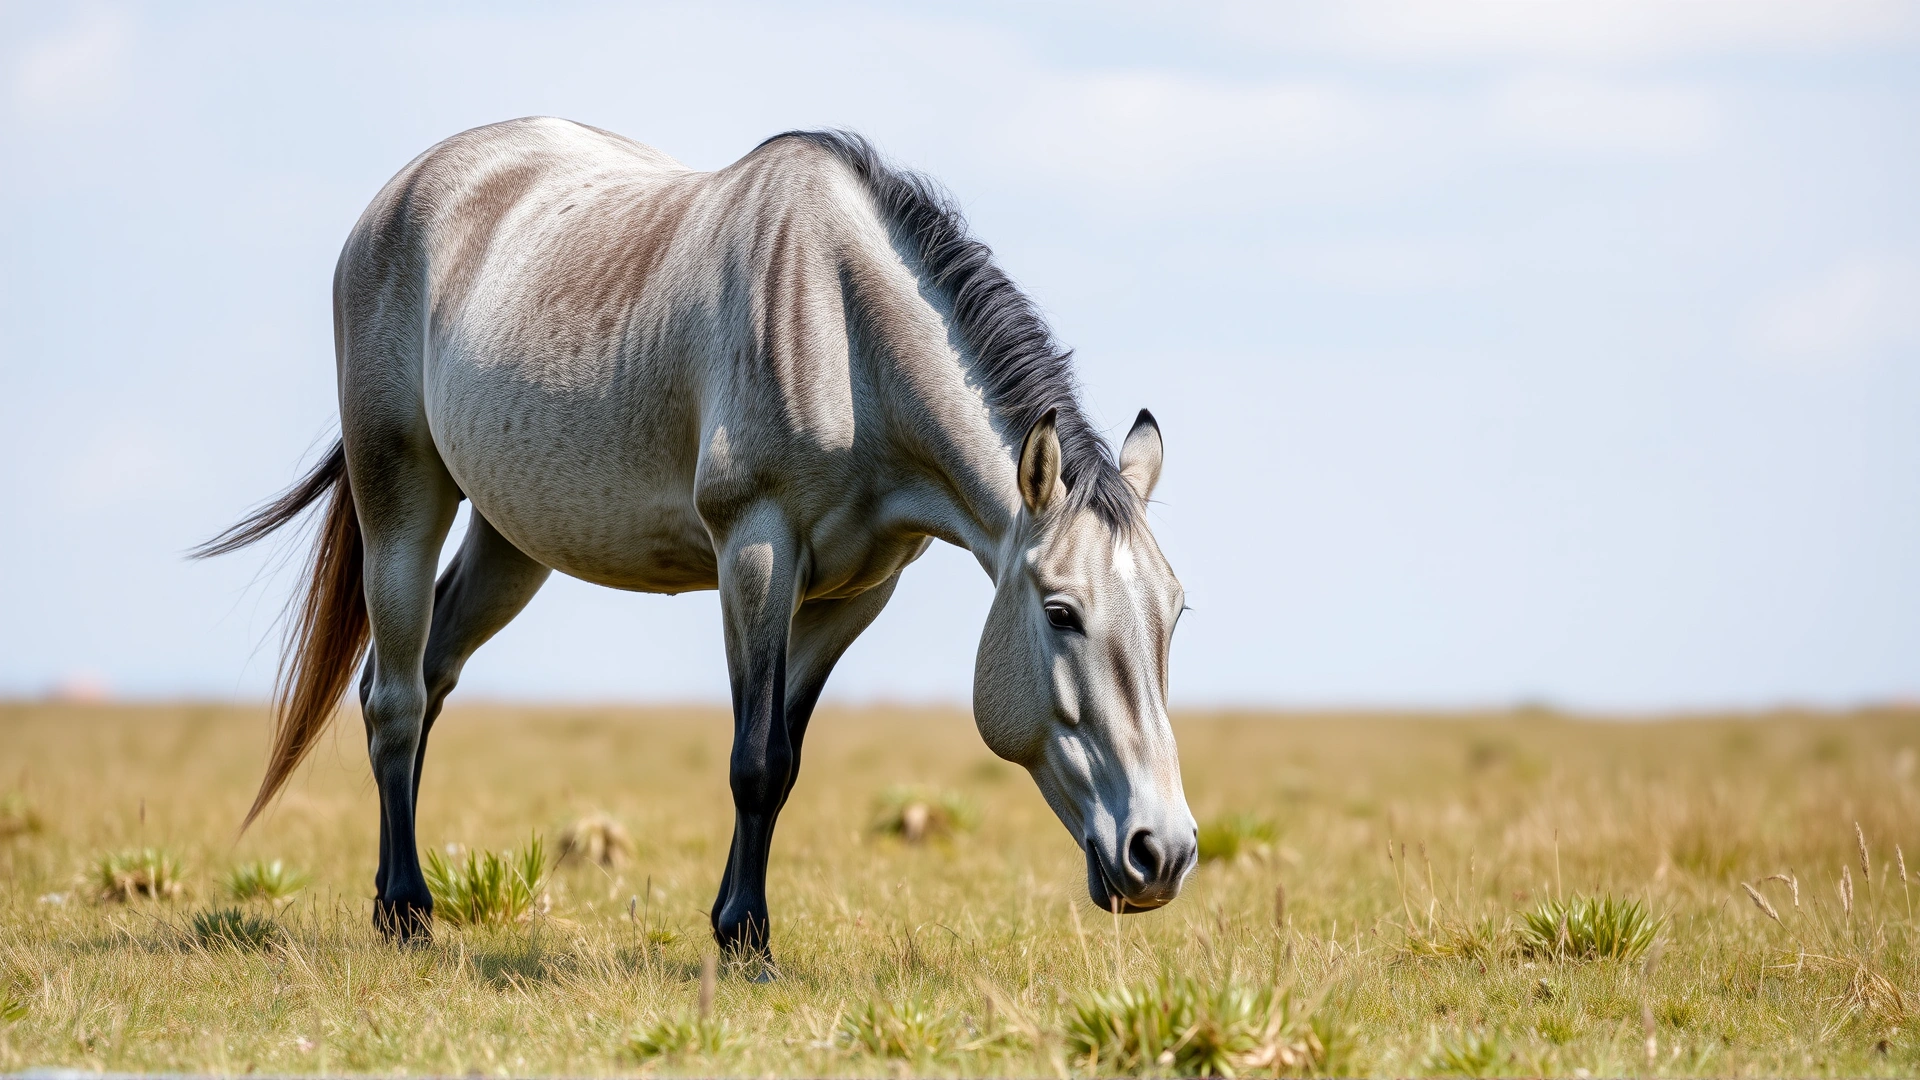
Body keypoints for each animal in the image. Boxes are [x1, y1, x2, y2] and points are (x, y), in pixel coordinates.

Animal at [198, 118, 1196, 966]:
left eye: (1175, 617)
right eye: (1061, 613)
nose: (1165, 852)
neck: (846, 333)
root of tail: (402, 194)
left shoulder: (852, 596)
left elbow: (783, 759)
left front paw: (735, 923)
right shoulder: (755, 553)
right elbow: (754, 760)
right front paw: (744, 936)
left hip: (512, 541)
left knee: (424, 678)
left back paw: (392, 896)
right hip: (399, 493)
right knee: (394, 699)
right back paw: (406, 911)